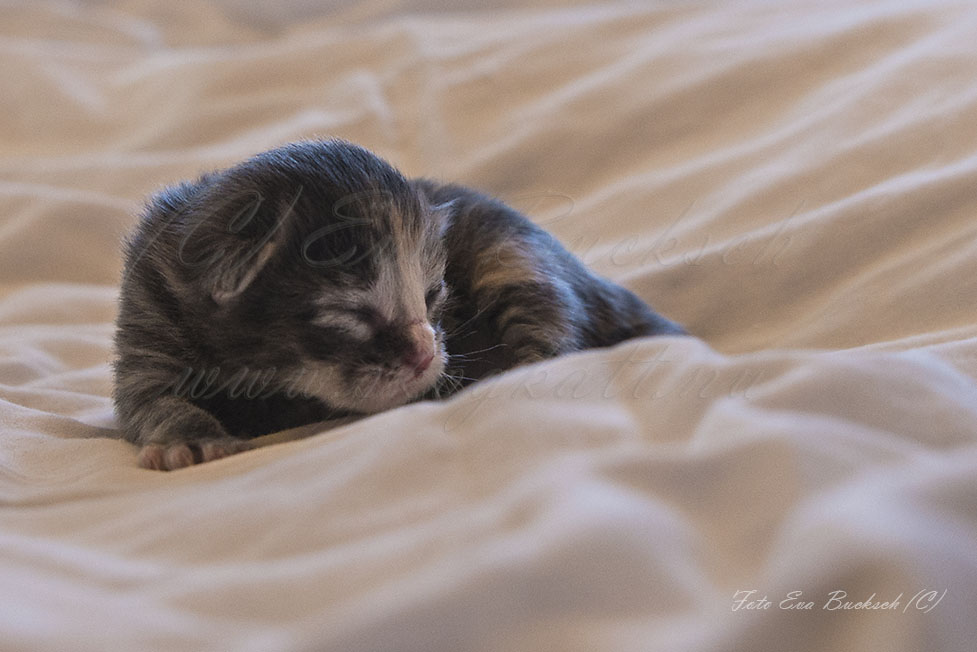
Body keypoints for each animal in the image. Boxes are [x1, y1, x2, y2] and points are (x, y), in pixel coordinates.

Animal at [114, 139, 684, 468]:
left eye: (432, 296)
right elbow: (149, 404)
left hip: (513, 253)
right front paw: (188, 438)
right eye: (353, 314)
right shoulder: (148, 324)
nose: (427, 355)